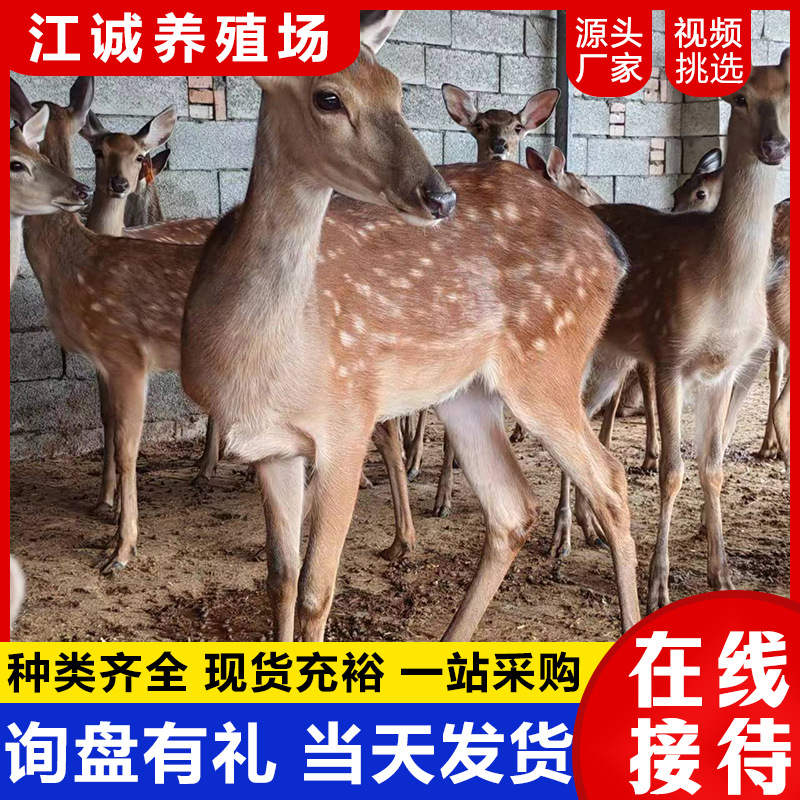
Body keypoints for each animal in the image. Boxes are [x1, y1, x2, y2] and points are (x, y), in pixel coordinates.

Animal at [181, 10, 639, 643]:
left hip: (548, 364)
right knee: (512, 507)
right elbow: (281, 579)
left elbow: (316, 592)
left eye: (397, 89)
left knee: (612, 482)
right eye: (327, 97)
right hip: (466, 391)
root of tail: (614, 251)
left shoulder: (347, 420)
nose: (439, 196)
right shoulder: (272, 448)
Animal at [551, 53, 791, 613]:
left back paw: (590, 527)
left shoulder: (724, 369)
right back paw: (563, 536)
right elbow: (672, 470)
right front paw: (656, 586)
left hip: (614, 357)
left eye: (791, 92)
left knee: (585, 421)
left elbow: (713, 466)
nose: (775, 145)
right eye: (740, 97)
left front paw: (721, 576)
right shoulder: (669, 355)